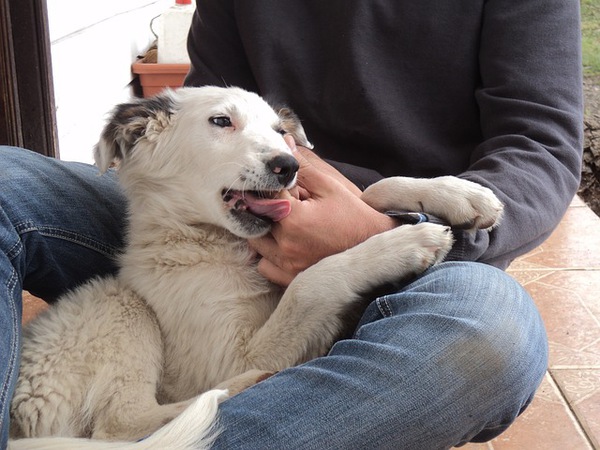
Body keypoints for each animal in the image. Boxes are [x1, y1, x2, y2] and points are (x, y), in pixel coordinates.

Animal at [10, 86, 502, 448]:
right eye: (220, 121)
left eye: (281, 131)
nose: (289, 166)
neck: (220, 244)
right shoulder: (229, 355)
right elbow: (310, 281)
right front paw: (407, 242)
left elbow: (373, 190)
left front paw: (460, 195)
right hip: (117, 304)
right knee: (121, 425)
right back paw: (244, 386)